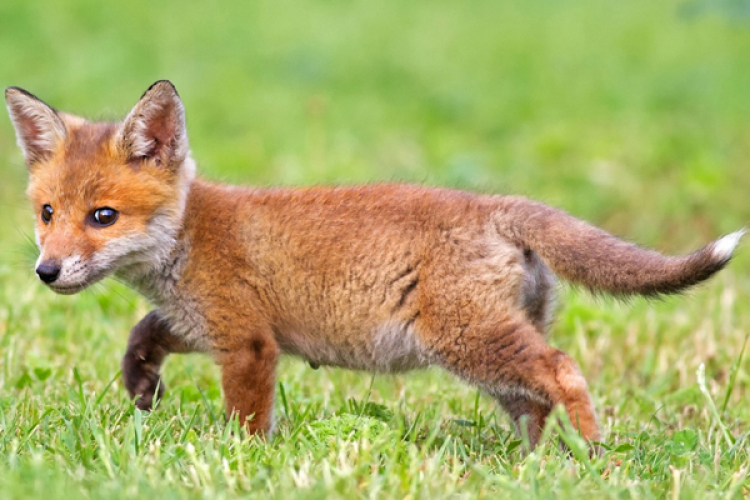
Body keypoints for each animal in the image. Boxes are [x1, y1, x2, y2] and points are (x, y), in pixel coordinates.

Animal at [7, 80, 748, 448]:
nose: (47, 271)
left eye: (102, 217)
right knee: (534, 401)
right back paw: (531, 467)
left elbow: (247, 420)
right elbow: (145, 333)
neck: (190, 235)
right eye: (47, 213)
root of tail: (497, 204)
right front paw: (142, 387)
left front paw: (244, 462)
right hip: (490, 355)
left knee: (564, 372)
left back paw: (593, 457)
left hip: (470, 340)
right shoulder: (205, 324)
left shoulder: (247, 342)